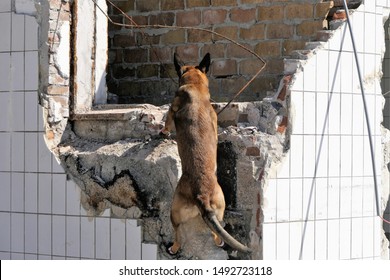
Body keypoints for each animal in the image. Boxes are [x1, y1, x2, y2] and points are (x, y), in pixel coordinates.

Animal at [160, 53, 251, 256]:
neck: (195, 86)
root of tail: (201, 196)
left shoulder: (172, 108)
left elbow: (168, 121)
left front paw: (163, 132)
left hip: (174, 211)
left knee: (177, 232)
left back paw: (174, 247)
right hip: (219, 208)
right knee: (216, 232)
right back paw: (219, 240)